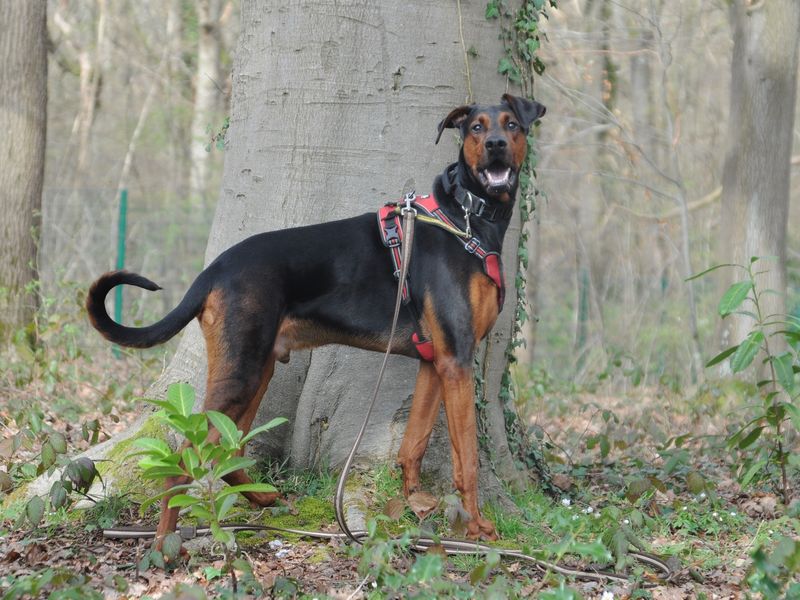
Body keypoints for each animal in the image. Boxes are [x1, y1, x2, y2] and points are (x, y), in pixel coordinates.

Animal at [87, 94, 548, 544]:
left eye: (511, 124)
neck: (467, 217)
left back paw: (263, 500)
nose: (495, 146)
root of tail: (213, 270)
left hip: (260, 367)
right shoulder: (457, 360)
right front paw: (476, 527)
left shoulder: (435, 363)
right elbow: (466, 458)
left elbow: (412, 445)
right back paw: (165, 545)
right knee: (187, 457)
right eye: (475, 128)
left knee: (231, 449)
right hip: (242, 371)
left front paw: (415, 504)